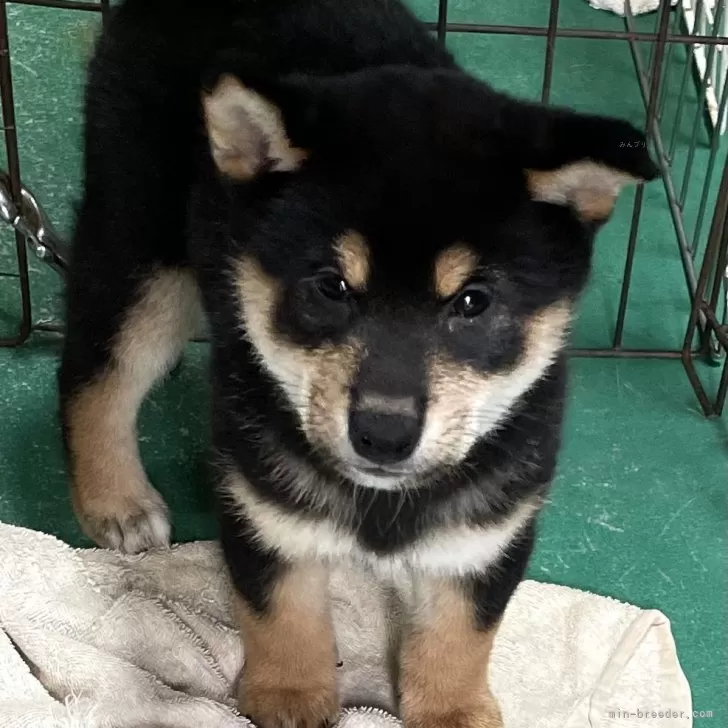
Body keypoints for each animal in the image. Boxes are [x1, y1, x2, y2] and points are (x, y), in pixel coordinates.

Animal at [58, 1, 660, 728]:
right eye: (331, 287)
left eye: (473, 302)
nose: (384, 433)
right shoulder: (262, 497)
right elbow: (280, 607)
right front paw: (292, 695)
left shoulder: (491, 522)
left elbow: (462, 630)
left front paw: (452, 708)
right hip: (142, 241)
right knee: (97, 373)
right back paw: (115, 498)